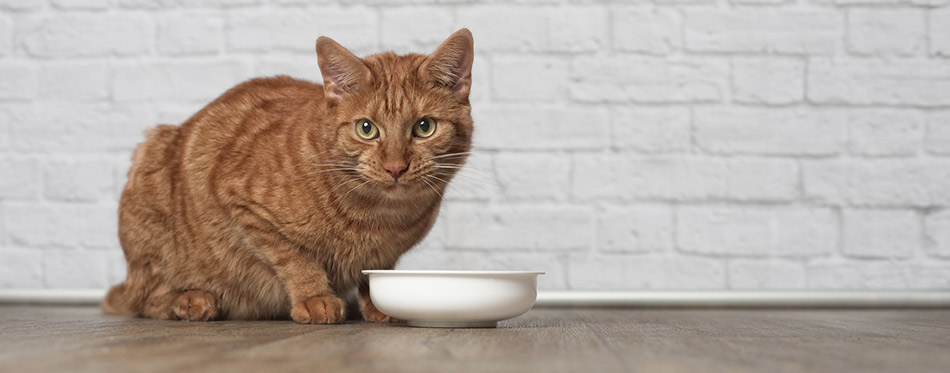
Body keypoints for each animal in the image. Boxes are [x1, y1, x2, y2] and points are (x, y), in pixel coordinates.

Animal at [104, 29, 476, 322]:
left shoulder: (387, 256)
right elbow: (295, 258)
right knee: (147, 300)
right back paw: (192, 300)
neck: (379, 217)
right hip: (151, 175)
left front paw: (379, 305)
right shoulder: (241, 203)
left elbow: (375, 274)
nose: (395, 167)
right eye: (366, 129)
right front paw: (314, 297)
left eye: (424, 127)